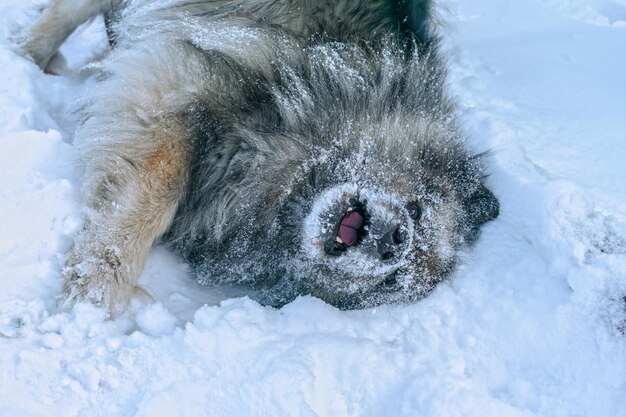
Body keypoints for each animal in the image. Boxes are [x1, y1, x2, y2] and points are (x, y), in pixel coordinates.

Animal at [19, 0, 498, 310]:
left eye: (394, 279)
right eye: (417, 210)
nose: (394, 241)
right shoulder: (182, 85)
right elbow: (152, 198)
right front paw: (91, 299)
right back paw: (24, 57)